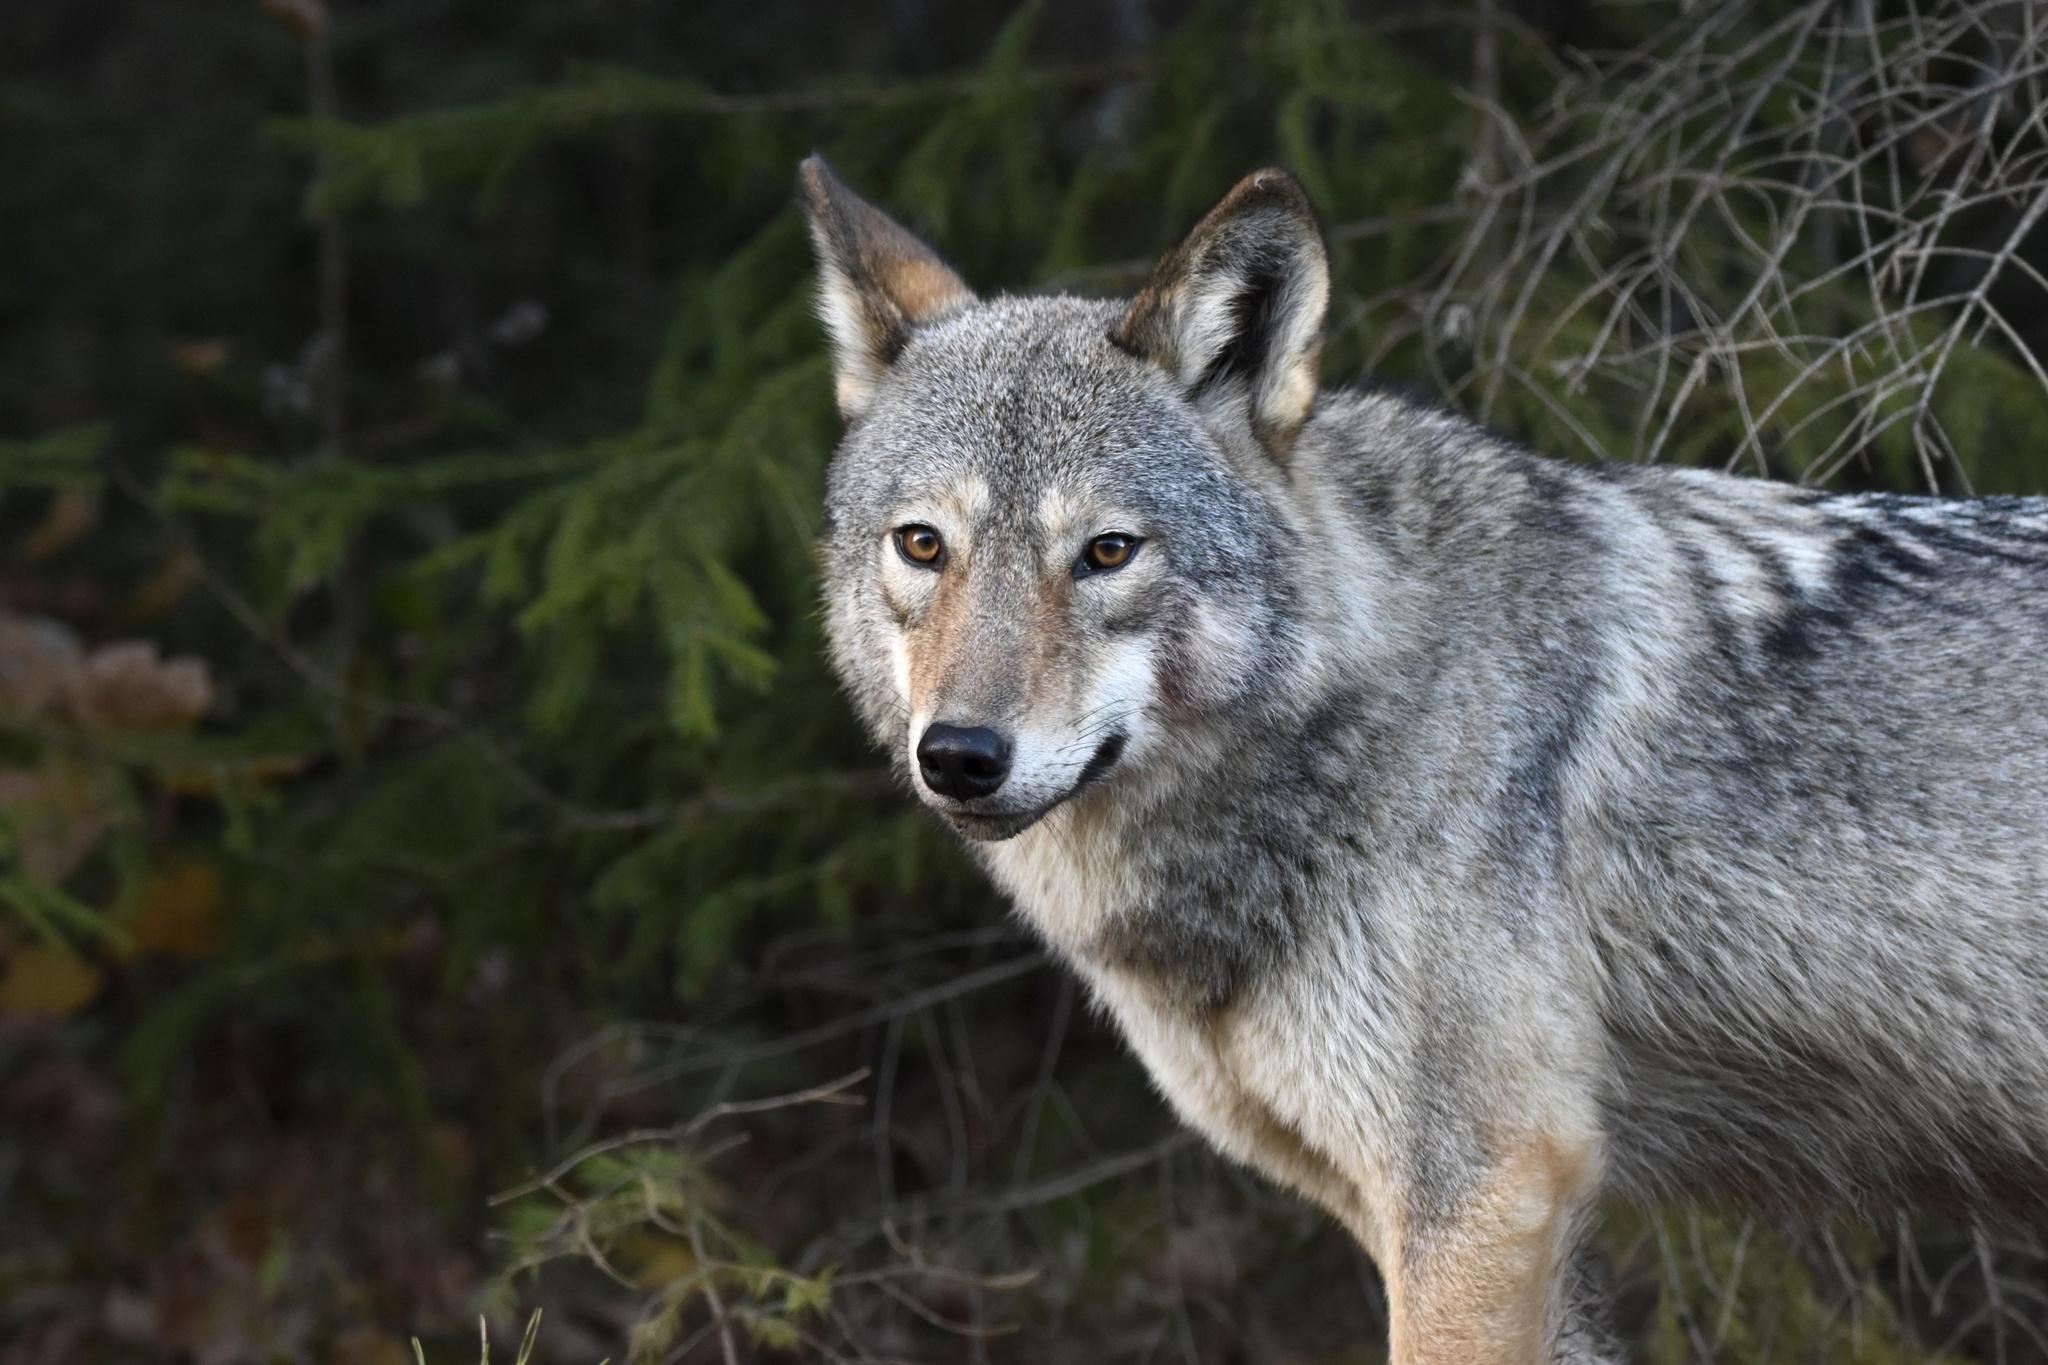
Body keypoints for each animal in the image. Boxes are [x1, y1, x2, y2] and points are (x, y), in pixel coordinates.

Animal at [798, 154, 2048, 1362]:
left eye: (1106, 553)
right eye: (923, 545)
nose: (961, 756)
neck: (1352, 712)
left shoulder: (1483, 1188)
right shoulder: (1422, 1205)